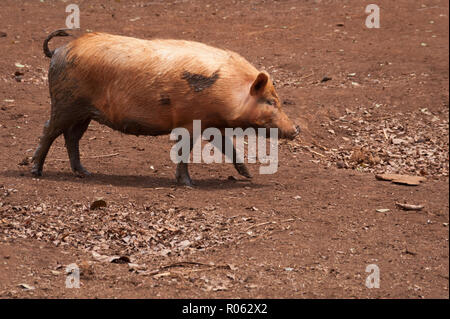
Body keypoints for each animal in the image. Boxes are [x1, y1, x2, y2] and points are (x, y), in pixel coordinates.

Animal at [31, 30, 298, 186]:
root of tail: (58, 51)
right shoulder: (189, 122)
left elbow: (228, 146)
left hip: (84, 112)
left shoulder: (212, 124)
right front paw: (188, 184)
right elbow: (185, 151)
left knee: (72, 136)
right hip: (66, 103)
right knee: (48, 130)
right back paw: (36, 171)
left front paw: (248, 175)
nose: (296, 129)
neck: (230, 90)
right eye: (271, 102)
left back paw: (85, 173)